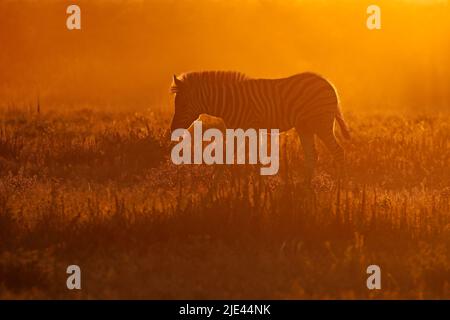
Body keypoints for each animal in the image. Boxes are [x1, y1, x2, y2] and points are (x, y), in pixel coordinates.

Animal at [171, 71, 350, 184]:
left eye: (183, 105)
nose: (173, 130)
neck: (230, 102)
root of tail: (327, 82)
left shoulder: (250, 128)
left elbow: (255, 160)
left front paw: (258, 191)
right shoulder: (237, 130)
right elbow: (228, 158)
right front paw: (213, 189)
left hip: (321, 123)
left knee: (338, 152)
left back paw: (340, 188)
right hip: (304, 126)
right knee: (312, 155)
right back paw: (306, 188)